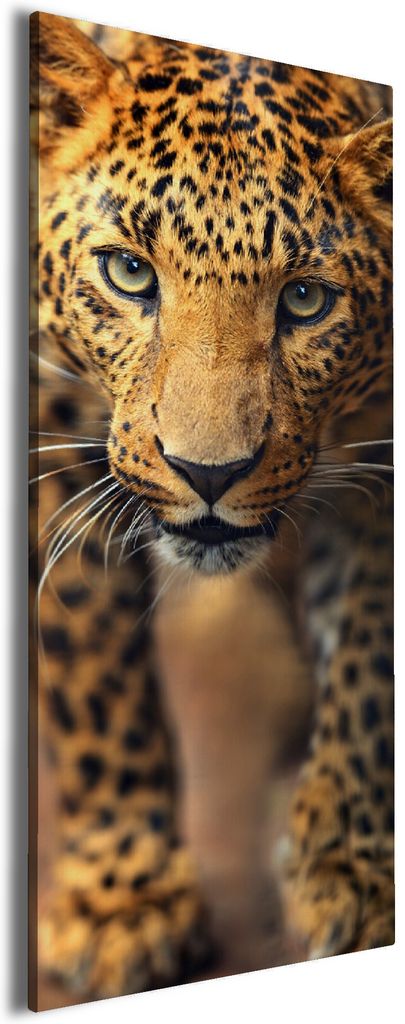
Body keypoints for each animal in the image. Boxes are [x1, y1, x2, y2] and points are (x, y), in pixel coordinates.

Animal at [29, 12, 393, 1006]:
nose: (208, 473)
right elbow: (90, 674)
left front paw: (349, 866)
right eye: (128, 273)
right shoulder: (50, 437)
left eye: (304, 299)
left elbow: (372, 658)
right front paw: (122, 899)